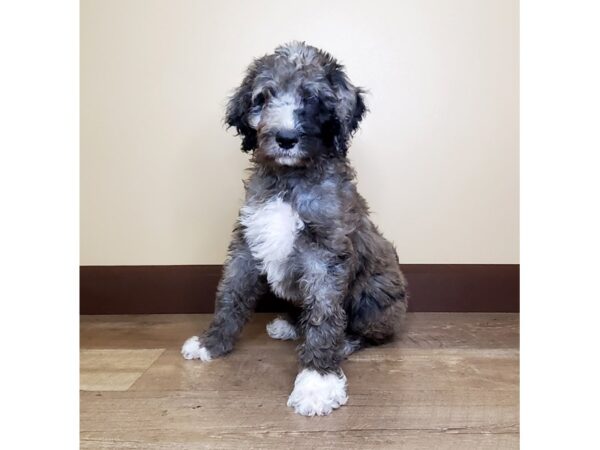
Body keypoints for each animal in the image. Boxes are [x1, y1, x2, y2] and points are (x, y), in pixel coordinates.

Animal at [183, 43, 408, 418]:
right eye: (263, 98)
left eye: (313, 99)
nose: (286, 138)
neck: (289, 179)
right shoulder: (247, 243)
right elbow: (230, 294)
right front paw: (211, 343)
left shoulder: (325, 255)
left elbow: (324, 316)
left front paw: (318, 381)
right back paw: (289, 323)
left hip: (376, 295)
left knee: (372, 332)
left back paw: (345, 343)